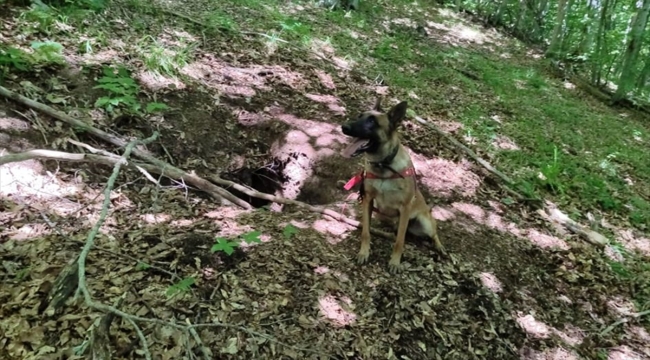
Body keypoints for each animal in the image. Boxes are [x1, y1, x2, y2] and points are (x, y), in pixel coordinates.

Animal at [340, 98, 446, 272]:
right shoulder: (368, 200)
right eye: (360, 116)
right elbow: (366, 232)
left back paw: (439, 246)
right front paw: (364, 252)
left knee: (433, 233)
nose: (344, 127)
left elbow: (399, 241)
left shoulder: (405, 207)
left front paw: (395, 262)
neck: (383, 165)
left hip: (425, 223)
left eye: (372, 121)